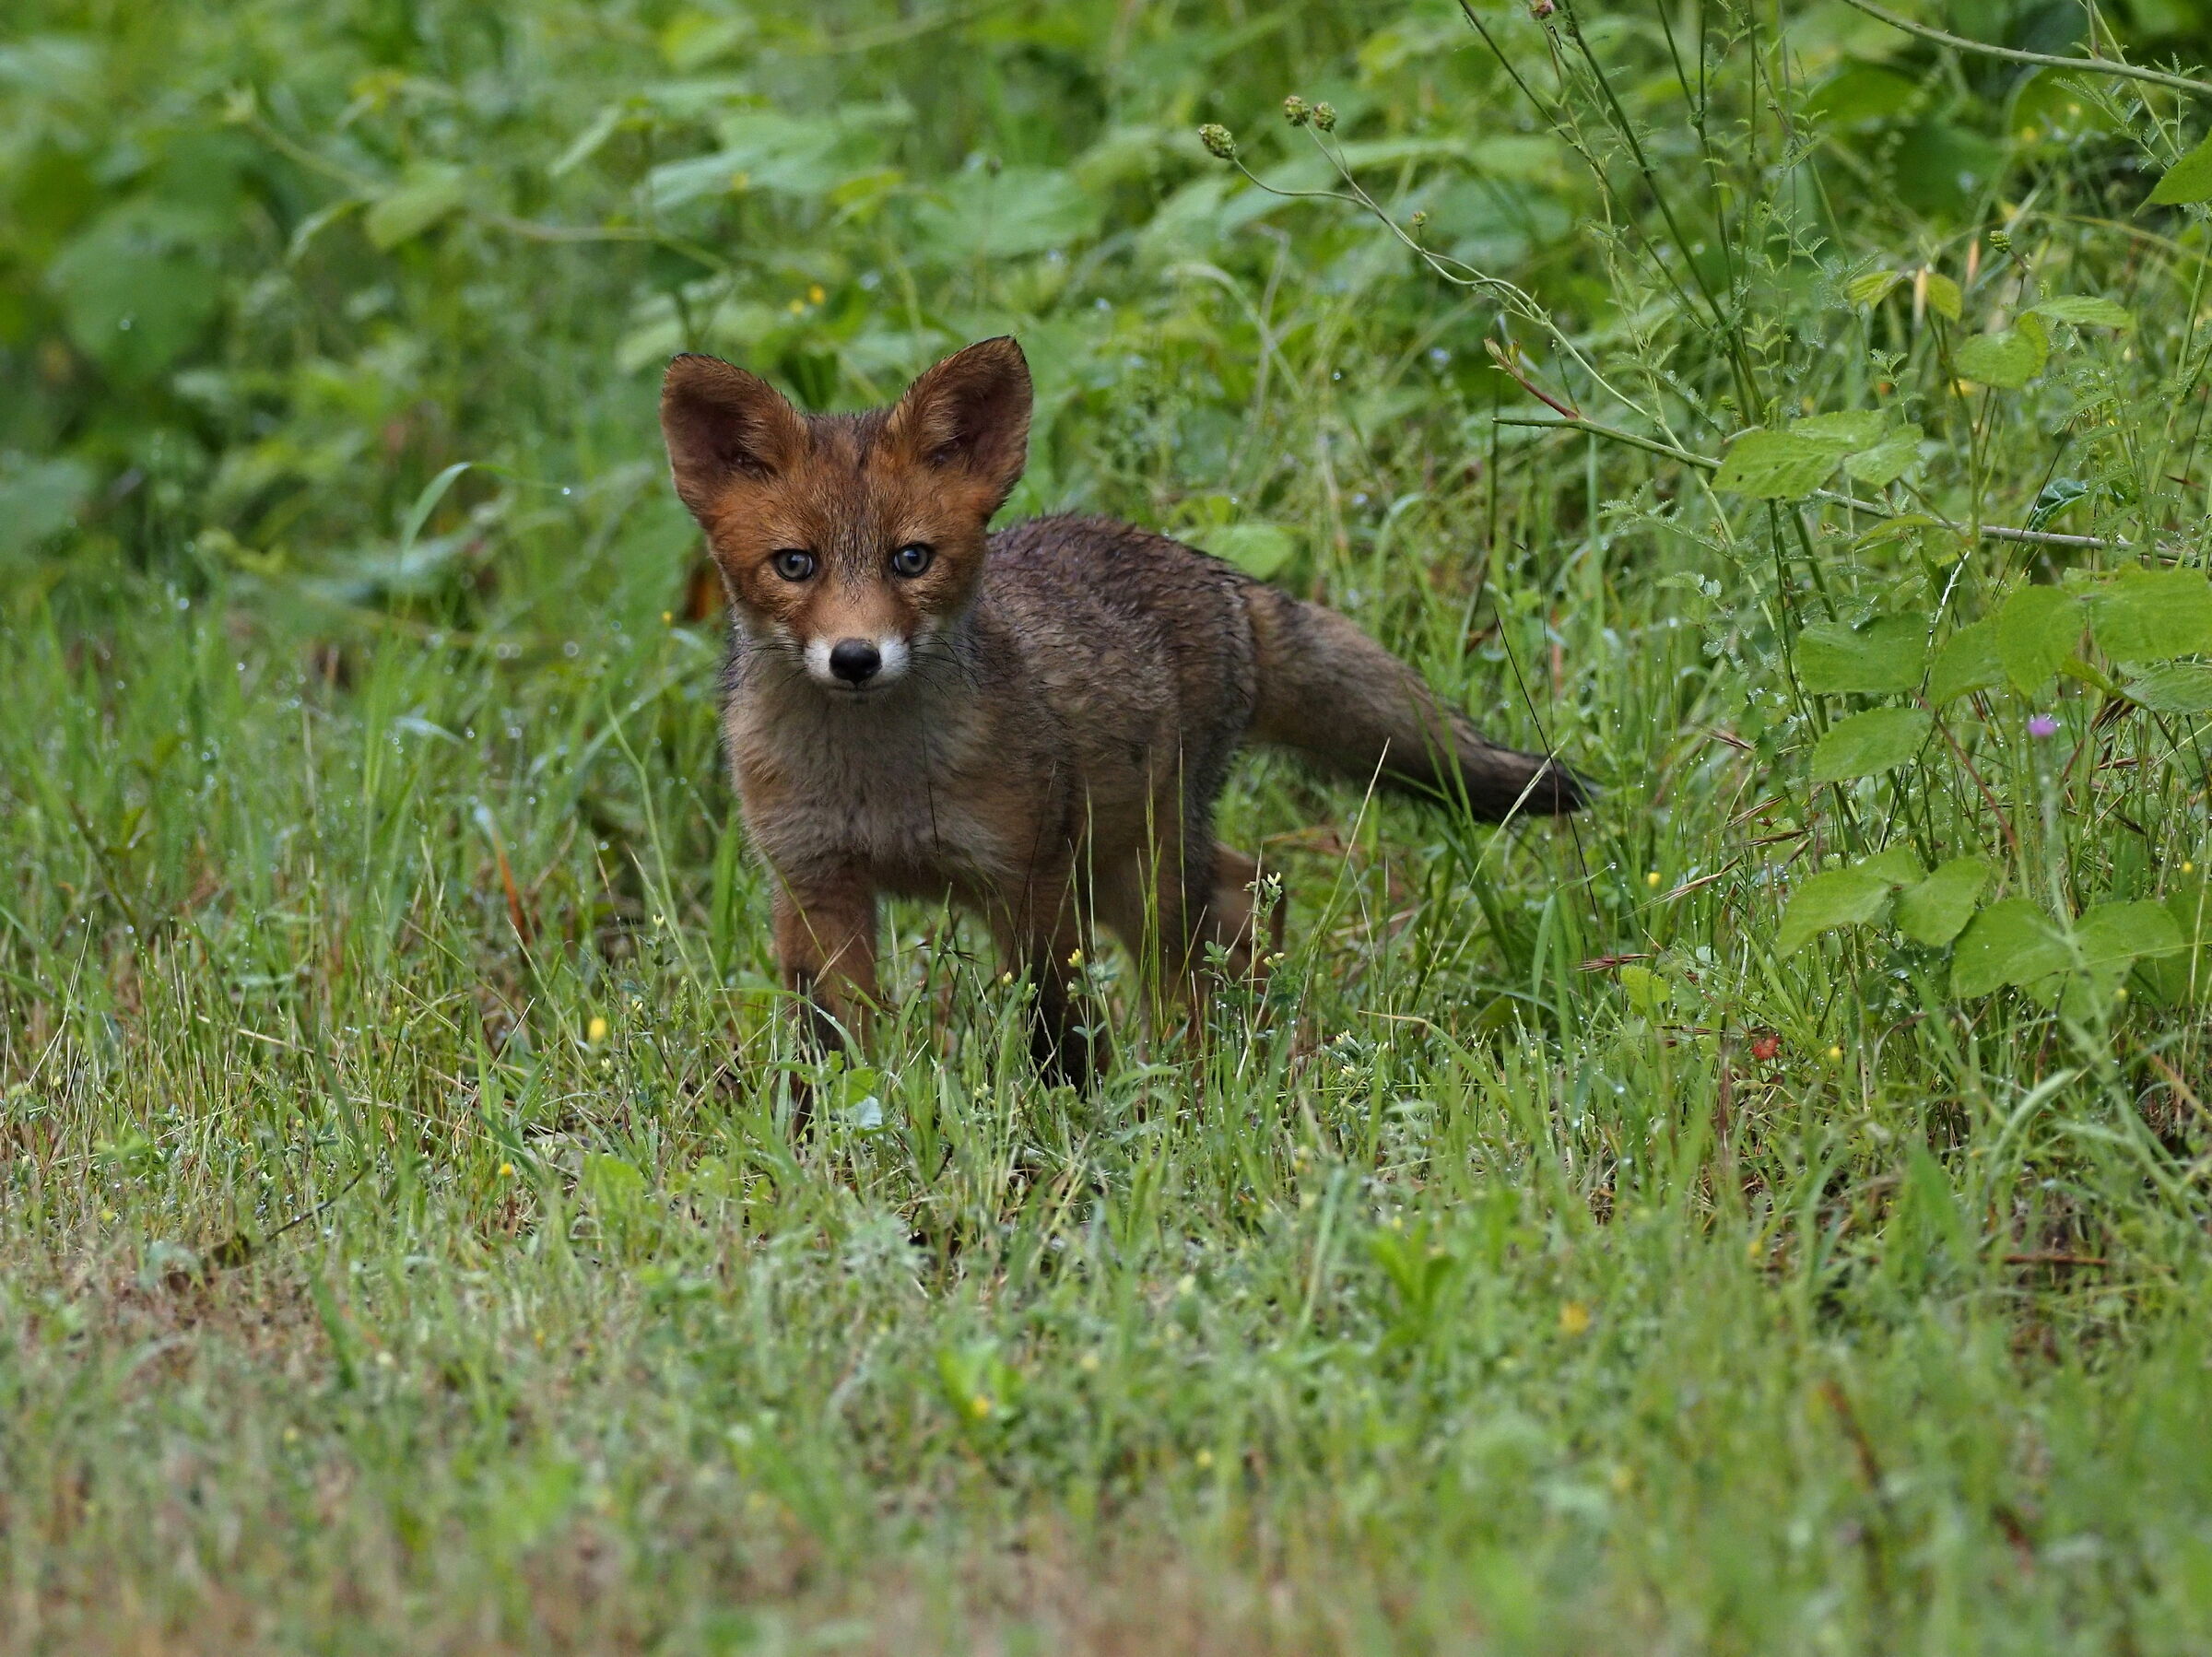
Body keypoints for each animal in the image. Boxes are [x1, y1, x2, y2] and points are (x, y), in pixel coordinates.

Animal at [659, 336, 1582, 1090]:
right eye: (796, 564)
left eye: (910, 559)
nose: (855, 658)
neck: (878, 784)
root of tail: (1209, 568)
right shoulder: (814, 884)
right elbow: (828, 1048)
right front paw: (826, 1137)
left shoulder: (1024, 880)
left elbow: (1055, 1028)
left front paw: (1070, 1122)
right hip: (1113, 865)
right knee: (1249, 890)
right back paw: (1248, 1046)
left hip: (1138, 867)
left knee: (1207, 939)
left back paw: (1204, 1073)